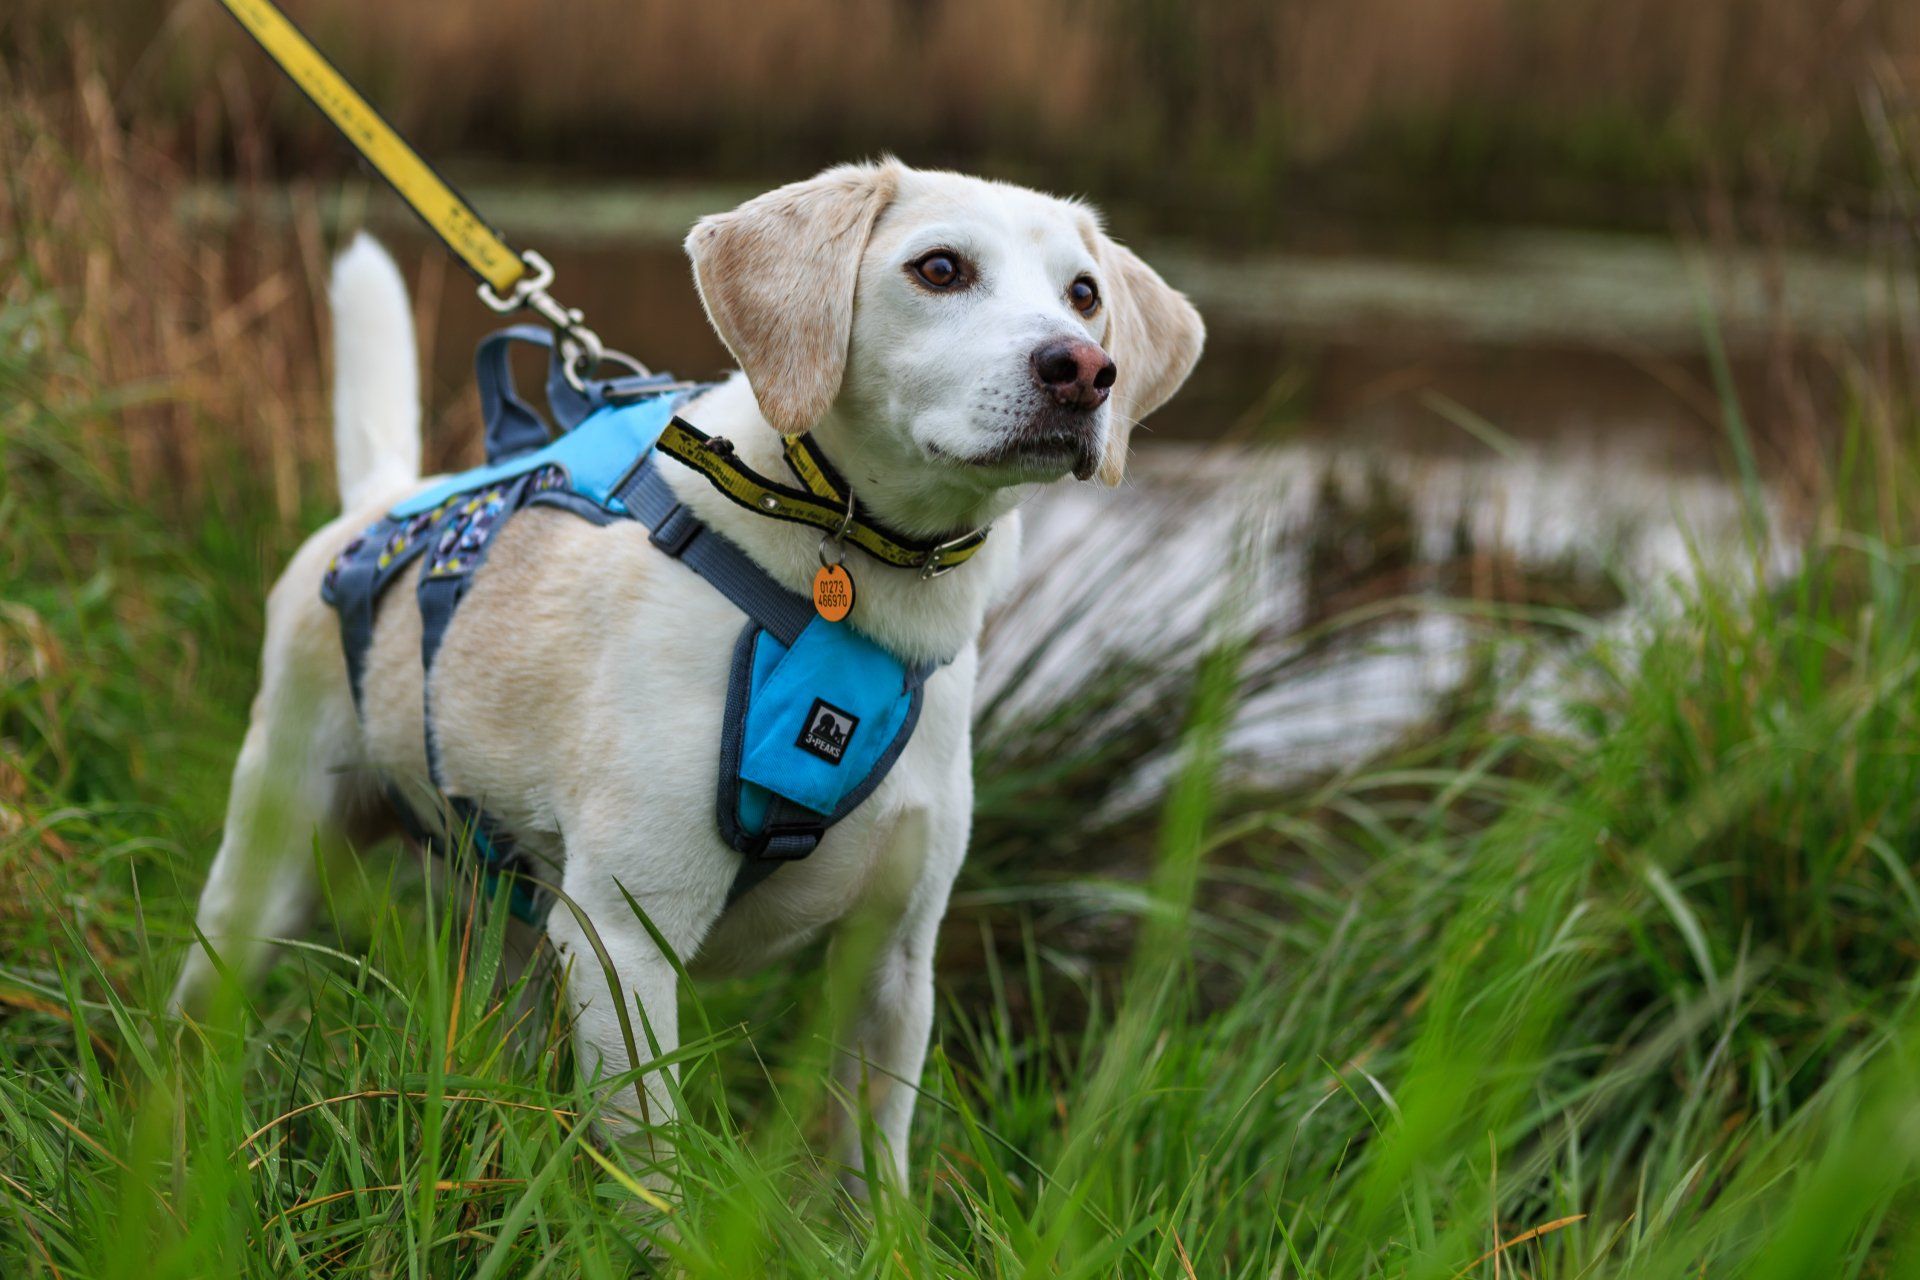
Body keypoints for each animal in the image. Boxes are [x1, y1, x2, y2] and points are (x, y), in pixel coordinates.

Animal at [172, 158, 1204, 1189]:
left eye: (1085, 295)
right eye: (940, 268)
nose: (1084, 369)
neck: (861, 579)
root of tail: (379, 502)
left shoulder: (894, 958)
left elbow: (876, 1167)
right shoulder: (624, 943)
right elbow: (656, 1170)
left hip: (520, 924)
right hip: (270, 861)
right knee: (205, 1000)